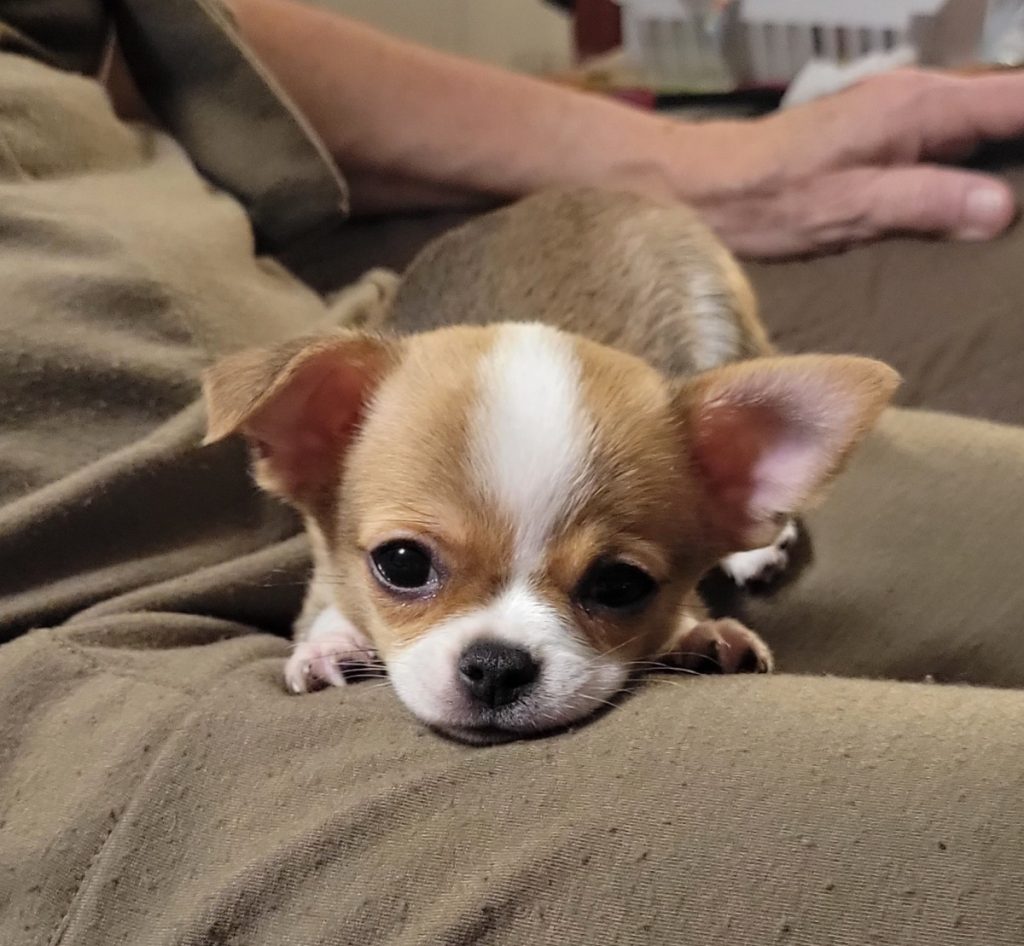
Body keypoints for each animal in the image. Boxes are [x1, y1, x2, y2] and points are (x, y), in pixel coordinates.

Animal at [205, 188, 897, 741]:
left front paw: (696, 638)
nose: (496, 664)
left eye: (620, 585)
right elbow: (325, 603)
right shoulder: (323, 566)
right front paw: (330, 647)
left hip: (720, 317)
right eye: (401, 563)